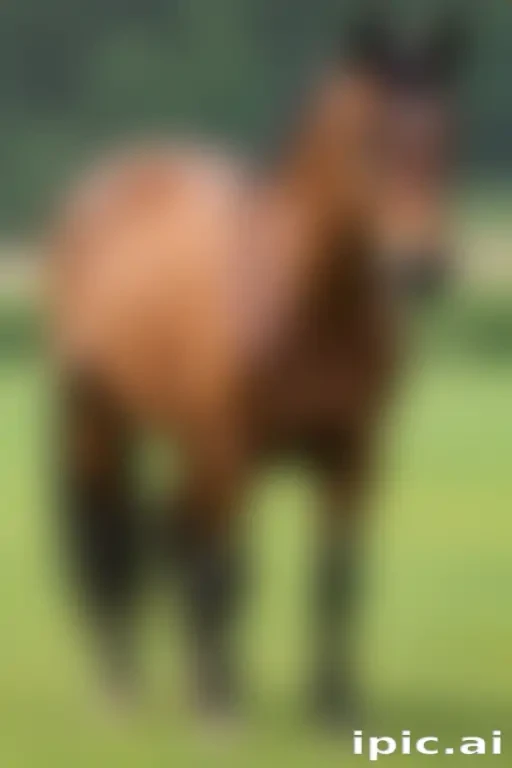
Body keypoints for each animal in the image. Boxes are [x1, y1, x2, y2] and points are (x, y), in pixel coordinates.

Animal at [48, 16, 465, 725]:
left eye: (446, 137)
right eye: (370, 139)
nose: (420, 266)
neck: (300, 303)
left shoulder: (354, 454)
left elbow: (338, 579)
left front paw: (334, 707)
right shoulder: (233, 448)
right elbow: (232, 570)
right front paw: (222, 705)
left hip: (189, 445)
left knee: (172, 534)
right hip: (101, 418)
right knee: (111, 538)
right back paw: (122, 684)